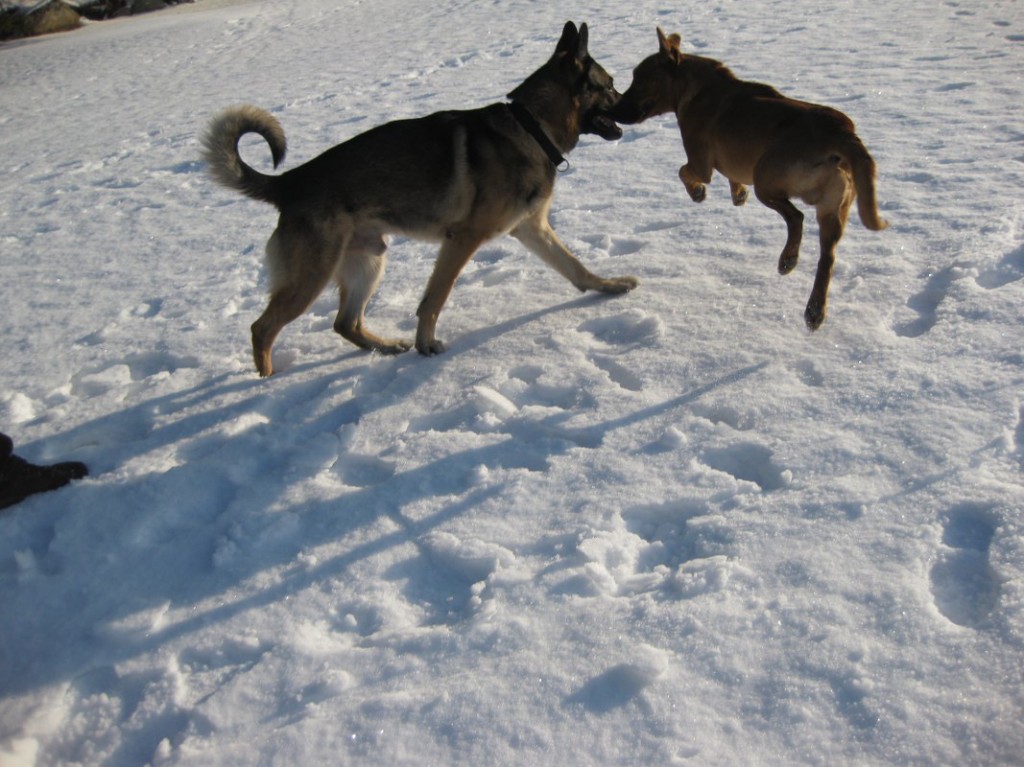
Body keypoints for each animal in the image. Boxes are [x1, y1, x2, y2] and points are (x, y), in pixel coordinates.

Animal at [200, 20, 634, 374]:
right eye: (611, 84)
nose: (633, 107)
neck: (532, 127)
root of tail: (290, 182)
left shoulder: (531, 229)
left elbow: (576, 268)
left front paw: (609, 286)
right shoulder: (462, 239)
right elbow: (434, 299)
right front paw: (427, 345)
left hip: (369, 260)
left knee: (344, 323)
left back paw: (387, 347)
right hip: (312, 276)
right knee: (263, 327)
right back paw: (267, 382)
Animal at [606, 27, 888, 329]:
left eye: (641, 80)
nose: (612, 110)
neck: (694, 86)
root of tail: (840, 133)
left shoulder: (700, 163)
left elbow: (684, 171)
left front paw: (698, 192)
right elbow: (731, 176)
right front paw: (738, 193)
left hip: (766, 177)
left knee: (796, 217)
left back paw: (788, 260)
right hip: (833, 207)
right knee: (827, 256)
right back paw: (814, 310)